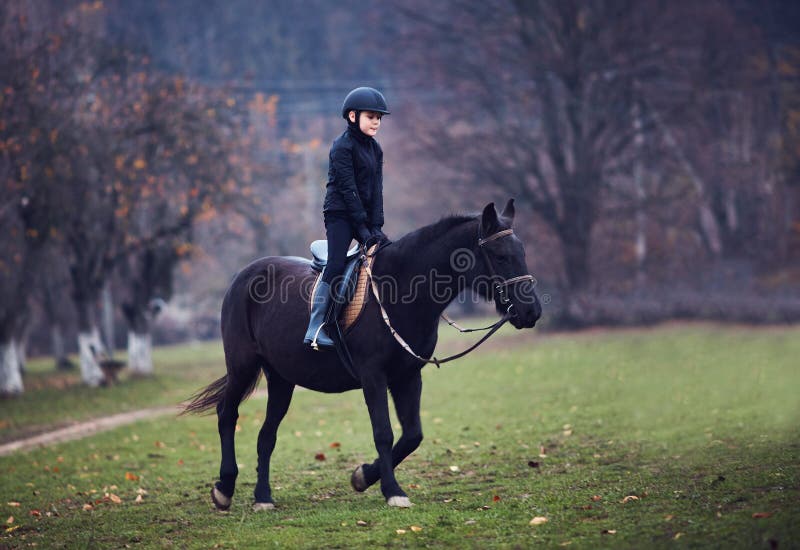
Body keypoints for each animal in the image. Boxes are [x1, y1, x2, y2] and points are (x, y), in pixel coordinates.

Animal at [184, 201, 540, 512]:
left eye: (523, 253)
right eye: (500, 256)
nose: (532, 311)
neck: (402, 288)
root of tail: (242, 277)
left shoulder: (408, 376)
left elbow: (412, 435)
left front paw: (363, 476)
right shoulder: (373, 376)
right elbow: (384, 432)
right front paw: (392, 491)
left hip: (281, 380)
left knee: (265, 436)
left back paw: (263, 497)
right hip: (242, 366)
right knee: (226, 414)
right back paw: (224, 488)